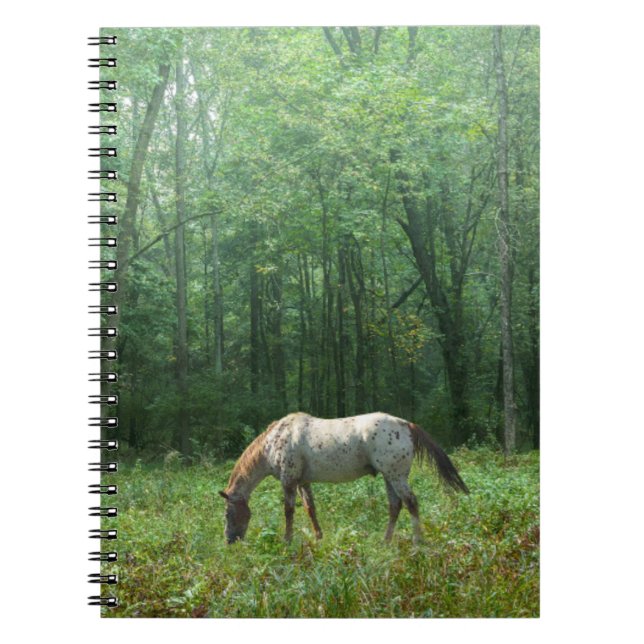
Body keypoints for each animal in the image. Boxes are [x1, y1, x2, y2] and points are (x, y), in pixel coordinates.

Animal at [218, 411, 469, 545]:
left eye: (228, 513)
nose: (230, 540)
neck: (274, 441)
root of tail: (406, 425)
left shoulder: (288, 481)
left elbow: (288, 511)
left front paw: (287, 540)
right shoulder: (302, 482)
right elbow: (310, 508)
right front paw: (319, 537)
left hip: (396, 476)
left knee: (411, 503)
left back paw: (417, 541)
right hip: (389, 477)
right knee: (395, 506)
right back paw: (385, 541)